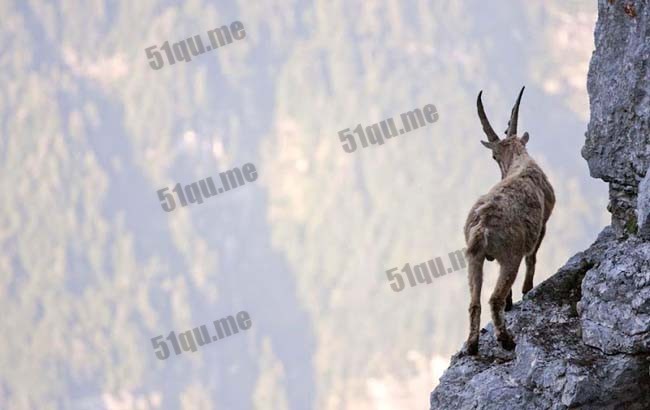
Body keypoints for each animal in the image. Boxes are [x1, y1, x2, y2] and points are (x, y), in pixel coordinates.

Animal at [464, 87, 556, 356]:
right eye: (494, 156)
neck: (520, 163)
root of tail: (482, 226)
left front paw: (511, 300)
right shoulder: (542, 225)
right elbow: (532, 257)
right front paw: (526, 291)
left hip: (474, 257)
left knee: (474, 302)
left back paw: (472, 345)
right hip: (509, 255)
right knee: (493, 298)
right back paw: (506, 340)